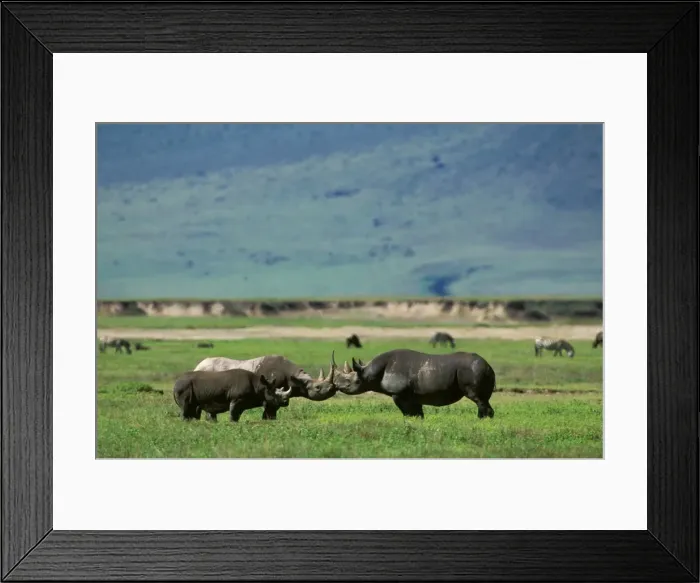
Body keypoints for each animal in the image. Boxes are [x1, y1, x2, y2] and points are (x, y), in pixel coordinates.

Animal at [193, 354, 339, 420]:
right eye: (317, 388)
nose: (333, 389)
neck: (297, 379)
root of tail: (197, 366)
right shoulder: (271, 395)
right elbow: (269, 413)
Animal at [329, 349, 496, 419]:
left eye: (352, 383)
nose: (338, 386)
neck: (370, 372)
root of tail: (489, 366)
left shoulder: (399, 394)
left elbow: (408, 413)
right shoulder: (413, 396)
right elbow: (418, 414)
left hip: (474, 370)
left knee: (479, 399)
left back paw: (482, 421)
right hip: (478, 369)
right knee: (483, 400)